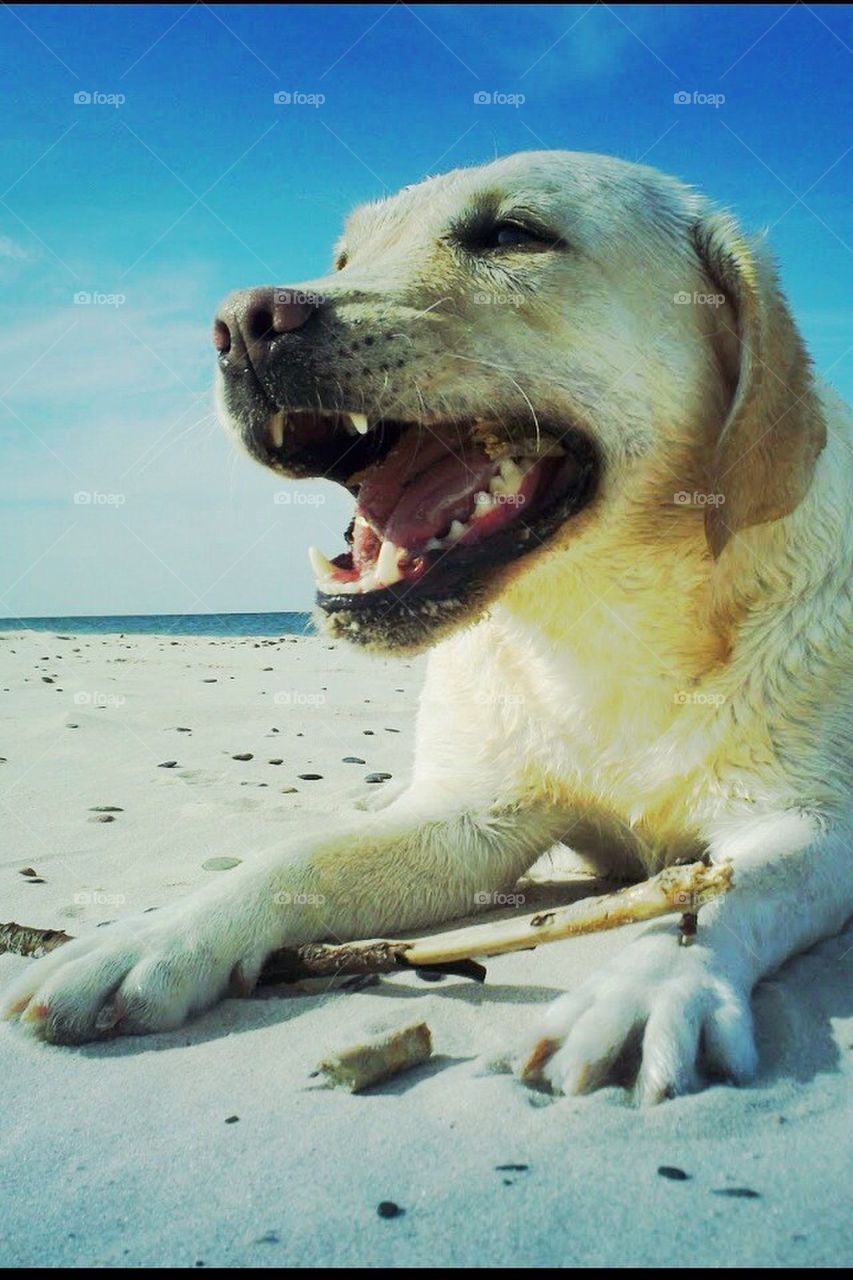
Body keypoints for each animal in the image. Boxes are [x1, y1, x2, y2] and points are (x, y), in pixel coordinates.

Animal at [4, 149, 845, 1100]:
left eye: (511, 234)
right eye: (341, 258)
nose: (242, 324)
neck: (597, 626)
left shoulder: (815, 825)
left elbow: (721, 888)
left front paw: (646, 983)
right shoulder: (473, 818)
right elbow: (297, 857)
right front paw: (152, 935)